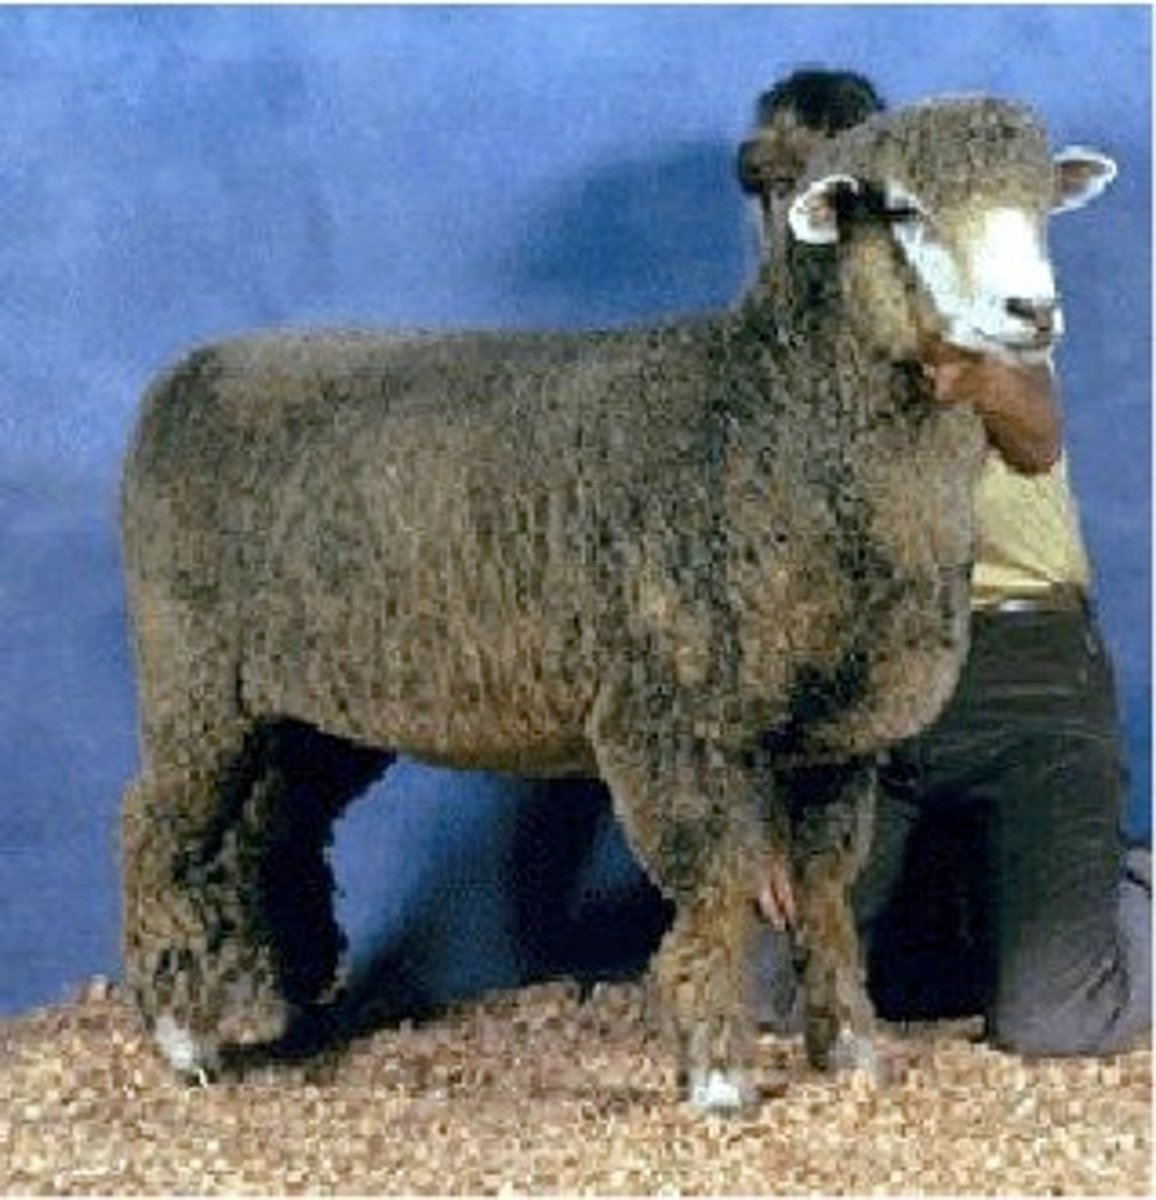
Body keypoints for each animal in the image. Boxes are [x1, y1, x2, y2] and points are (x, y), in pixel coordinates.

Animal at [119, 95, 1115, 1113]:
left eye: (1041, 203)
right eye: (905, 209)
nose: (1033, 312)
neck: (767, 416)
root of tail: (190, 370)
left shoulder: (838, 736)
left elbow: (827, 891)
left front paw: (849, 1052)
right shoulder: (665, 715)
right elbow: (716, 890)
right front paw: (718, 1078)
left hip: (309, 708)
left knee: (270, 832)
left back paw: (275, 1007)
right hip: (194, 679)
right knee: (154, 829)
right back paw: (180, 1038)